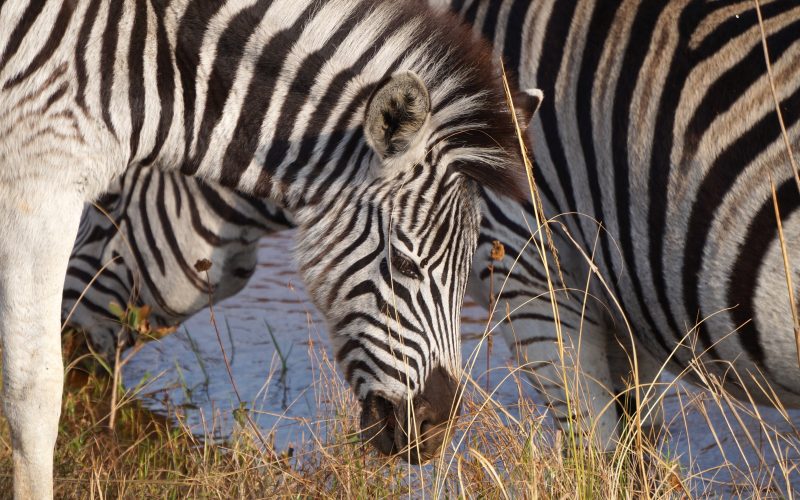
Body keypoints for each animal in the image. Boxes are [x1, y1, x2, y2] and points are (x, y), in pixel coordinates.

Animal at [1, 0, 536, 496]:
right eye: (404, 263)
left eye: (468, 275)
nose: (435, 433)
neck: (143, 62)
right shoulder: (39, 179)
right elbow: (34, 389)